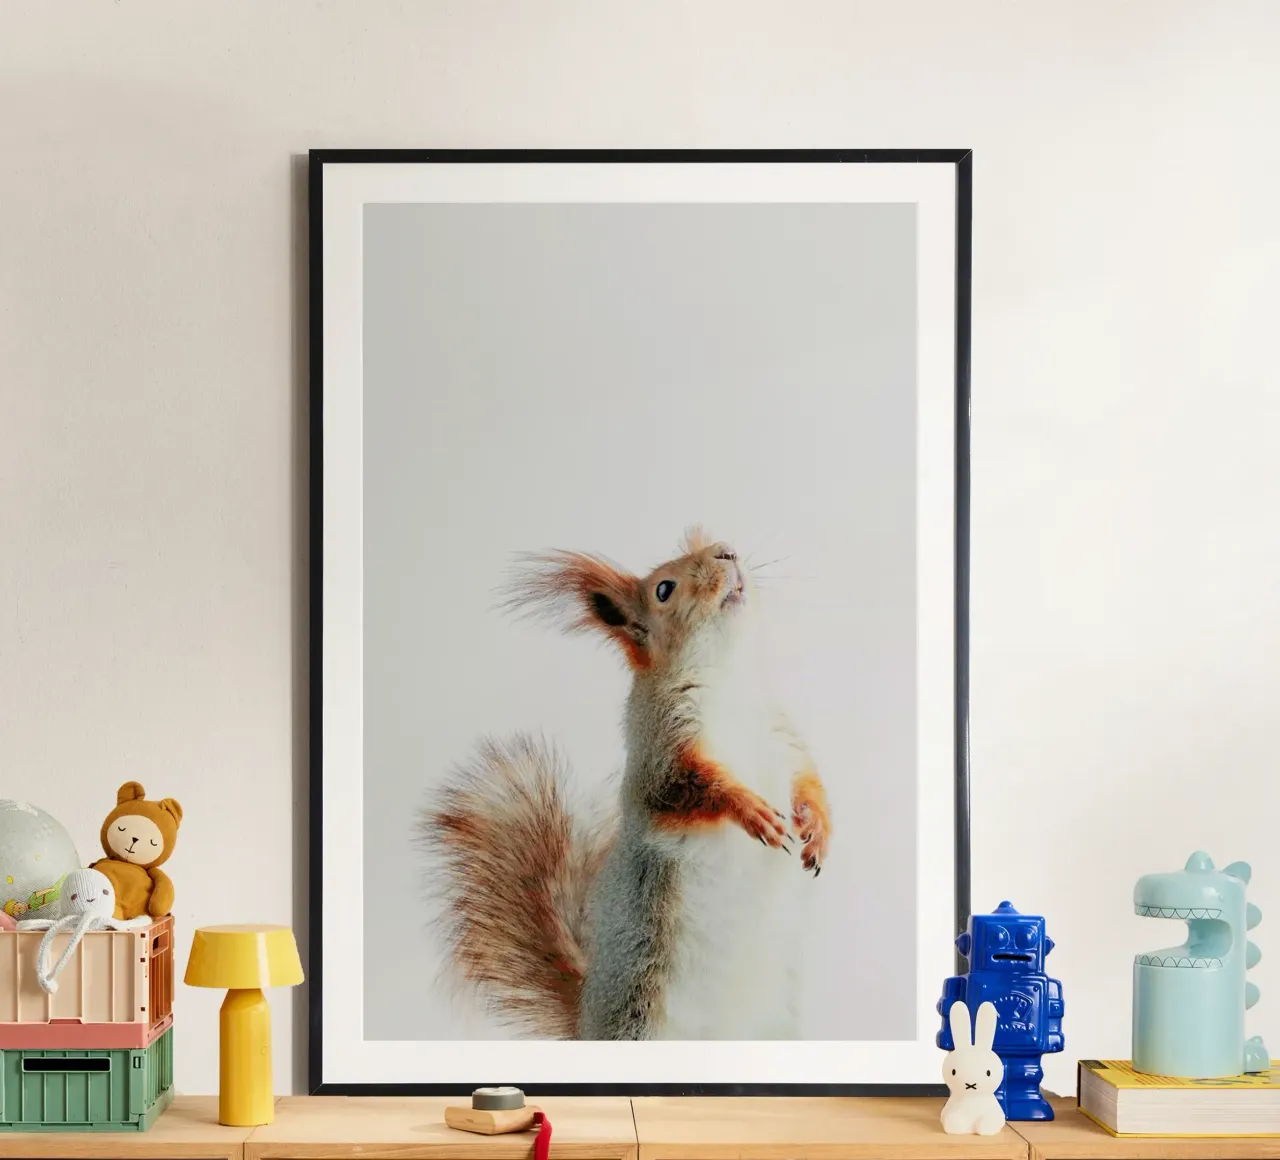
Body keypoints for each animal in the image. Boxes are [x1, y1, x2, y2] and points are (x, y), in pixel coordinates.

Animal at [419, 527, 831, 1040]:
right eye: (663, 590)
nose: (728, 552)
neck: (728, 676)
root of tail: (586, 1018)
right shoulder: (661, 753)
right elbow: (689, 790)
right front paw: (752, 811)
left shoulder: (783, 739)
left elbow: (810, 784)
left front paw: (818, 831)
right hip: (640, 1014)